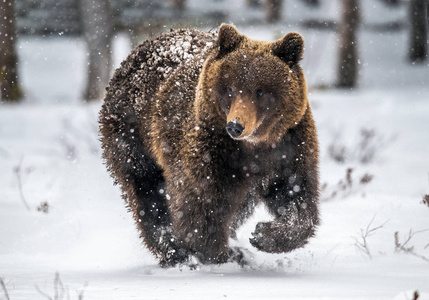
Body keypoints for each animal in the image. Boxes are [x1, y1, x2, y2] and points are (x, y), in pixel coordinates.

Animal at [98, 24, 316, 268]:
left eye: (260, 91)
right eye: (230, 89)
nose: (235, 126)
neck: (251, 148)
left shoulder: (288, 145)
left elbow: (294, 192)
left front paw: (263, 234)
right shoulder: (208, 150)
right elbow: (201, 205)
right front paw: (223, 254)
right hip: (132, 137)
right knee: (147, 193)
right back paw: (173, 251)